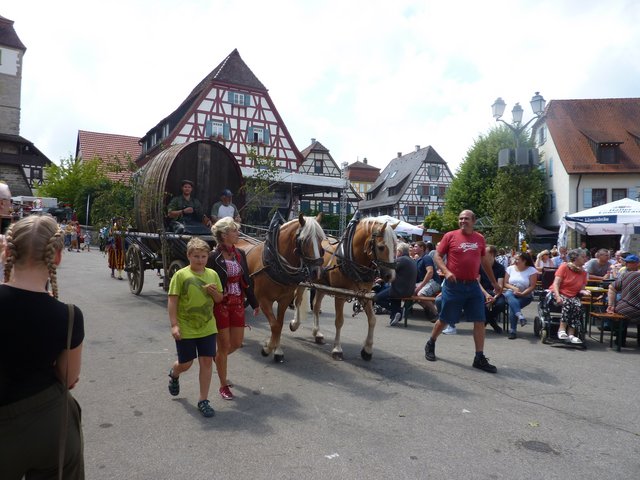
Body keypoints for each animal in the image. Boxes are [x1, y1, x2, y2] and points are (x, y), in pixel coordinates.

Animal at [239, 212, 328, 362]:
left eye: (321, 239)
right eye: (304, 240)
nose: (317, 272)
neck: (274, 261)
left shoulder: (285, 299)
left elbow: (279, 324)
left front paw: (277, 350)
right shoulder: (263, 299)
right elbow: (274, 325)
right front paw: (267, 348)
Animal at [290, 217, 396, 360]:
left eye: (395, 246)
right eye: (381, 247)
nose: (391, 275)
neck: (351, 258)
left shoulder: (365, 294)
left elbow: (372, 319)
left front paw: (367, 350)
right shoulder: (340, 295)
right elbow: (339, 321)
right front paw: (337, 349)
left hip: (322, 286)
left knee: (316, 306)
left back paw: (317, 333)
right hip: (303, 281)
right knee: (298, 300)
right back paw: (295, 323)